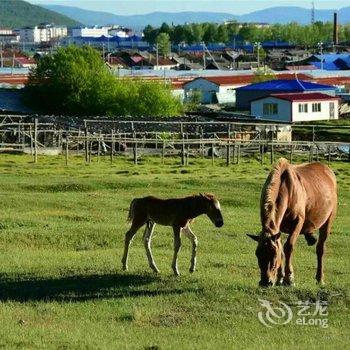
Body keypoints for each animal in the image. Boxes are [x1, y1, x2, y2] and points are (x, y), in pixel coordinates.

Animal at [247, 159, 338, 288]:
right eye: (257, 254)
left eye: (273, 255)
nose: (265, 282)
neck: (288, 190)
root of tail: (328, 171)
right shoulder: (277, 229)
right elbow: (282, 249)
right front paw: (280, 278)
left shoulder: (297, 223)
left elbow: (288, 247)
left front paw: (289, 279)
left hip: (328, 221)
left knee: (320, 249)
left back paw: (320, 279)